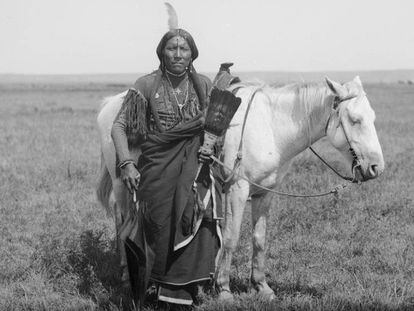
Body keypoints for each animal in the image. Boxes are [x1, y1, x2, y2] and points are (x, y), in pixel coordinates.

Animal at [95, 75, 384, 300]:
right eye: (355, 120)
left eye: (373, 117)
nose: (376, 167)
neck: (272, 127)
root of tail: (111, 104)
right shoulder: (237, 189)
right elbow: (232, 237)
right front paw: (223, 288)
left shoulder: (265, 192)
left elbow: (259, 238)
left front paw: (261, 286)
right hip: (123, 182)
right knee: (124, 223)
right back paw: (127, 274)